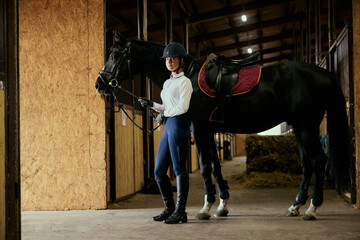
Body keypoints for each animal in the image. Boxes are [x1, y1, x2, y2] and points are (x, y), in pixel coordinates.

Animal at [95, 34, 352, 220]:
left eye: (115, 55)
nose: (99, 84)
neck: (187, 77)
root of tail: (324, 74)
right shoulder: (208, 131)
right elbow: (216, 166)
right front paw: (222, 205)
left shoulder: (199, 129)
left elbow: (204, 166)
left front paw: (205, 208)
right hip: (301, 129)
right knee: (307, 164)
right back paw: (295, 206)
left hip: (306, 128)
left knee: (318, 160)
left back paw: (311, 209)